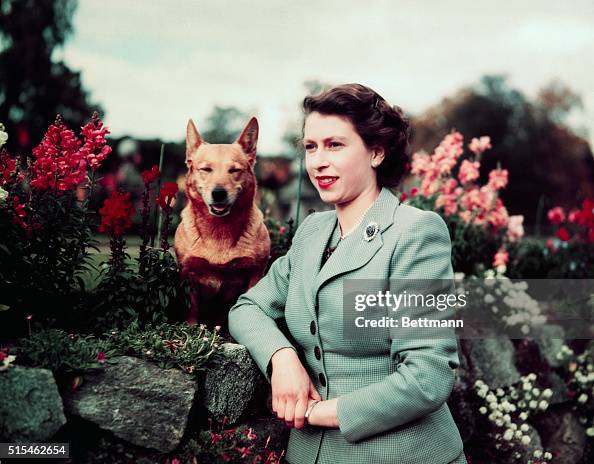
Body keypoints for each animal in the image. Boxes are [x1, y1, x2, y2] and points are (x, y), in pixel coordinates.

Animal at [173, 118, 270, 332]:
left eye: (234, 170)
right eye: (206, 169)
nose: (218, 193)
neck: (219, 229)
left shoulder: (255, 274)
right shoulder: (188, 274)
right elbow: (191, 311)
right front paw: (192, 332)